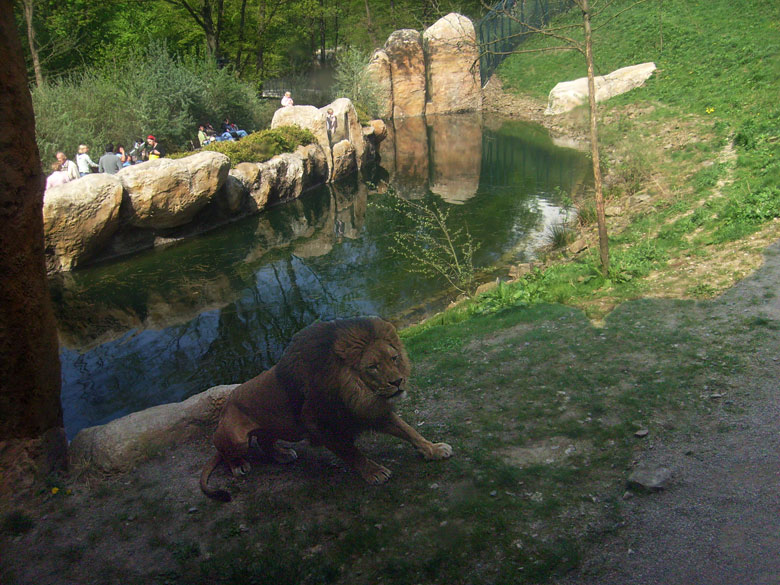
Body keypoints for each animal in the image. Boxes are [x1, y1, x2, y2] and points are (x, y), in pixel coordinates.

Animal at [201, 318, 450, 500]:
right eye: (373, 367)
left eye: (394, 358)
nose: (398, 382)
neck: (356, 393)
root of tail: (225, 407)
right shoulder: (321, 427)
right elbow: (352, 452)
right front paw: (375, 472)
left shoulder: (370, 411)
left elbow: (409, 430)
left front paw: (434, 449)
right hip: (236, 438)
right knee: (226, 452)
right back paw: (239, 466)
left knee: (264, 441)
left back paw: (282, 455)